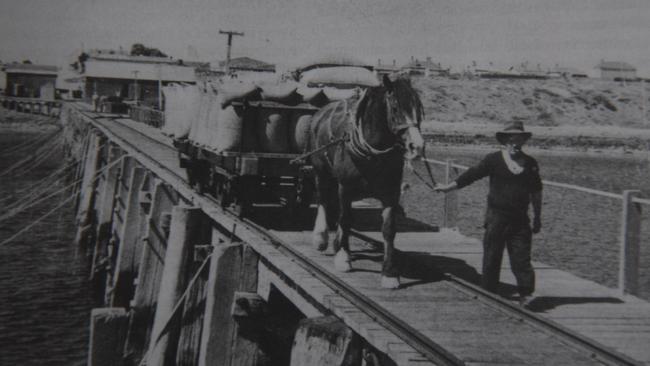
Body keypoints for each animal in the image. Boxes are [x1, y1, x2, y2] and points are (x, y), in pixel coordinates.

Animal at [308, 73, 426, 288]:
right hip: (320, 171)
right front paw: (343, 257)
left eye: (419, 110)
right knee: (323, 200)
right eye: (395, 108)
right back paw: (321, 238)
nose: (417, 146)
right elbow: (346, 219)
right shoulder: (345, 187)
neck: (373, 153)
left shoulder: (391, 192)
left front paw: (389, 273)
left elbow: (388, 229)